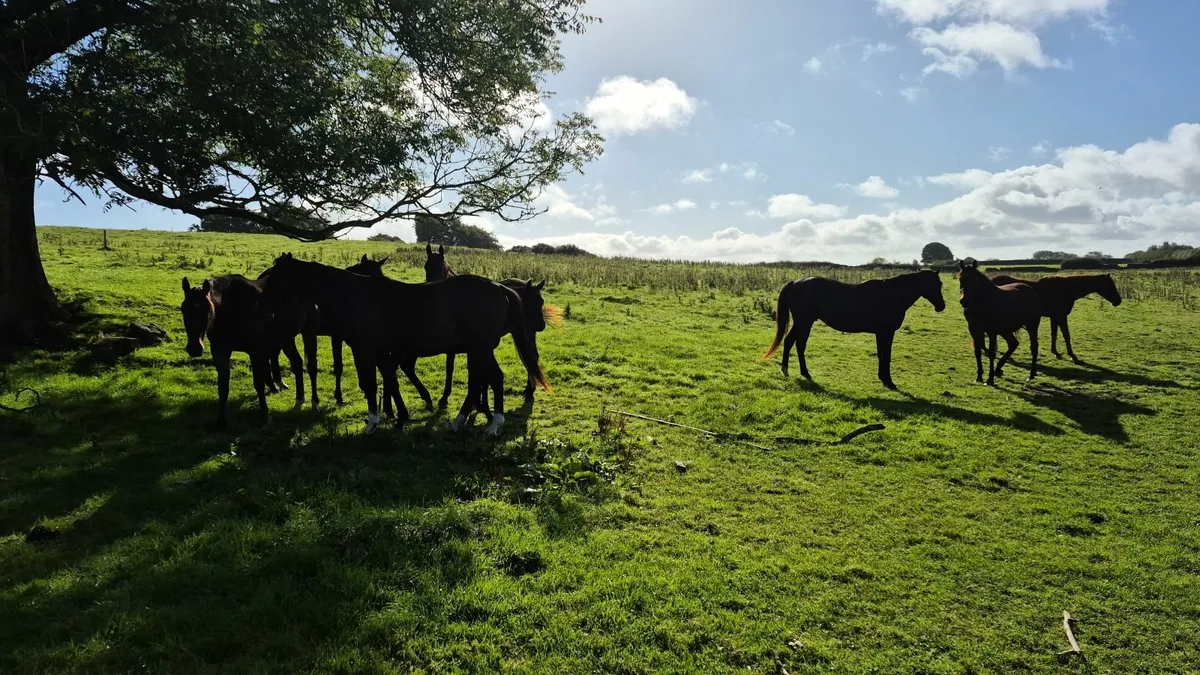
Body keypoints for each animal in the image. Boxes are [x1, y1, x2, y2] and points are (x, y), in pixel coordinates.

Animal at [179, 275, 313, 427]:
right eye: (183, 309)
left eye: (207, 310)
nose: (194, 348)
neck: (232, 310)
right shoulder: (221, 352)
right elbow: (223, 387)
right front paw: (221, 420)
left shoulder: (255, 351)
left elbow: (258, 383)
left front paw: (264, 413)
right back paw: (277, 388)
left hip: (287, 338)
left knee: (296, 363)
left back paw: (299, 399)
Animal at [257, 253, 549, 435]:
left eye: (276, 277)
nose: (263, 306)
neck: (354, 295)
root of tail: (500, 288)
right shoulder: (380, 351)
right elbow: (388, 380)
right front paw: (397, 416)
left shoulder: (365, 349)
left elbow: (370, 382)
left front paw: (373, 423)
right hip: (480, 349)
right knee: (485, 379)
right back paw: (466, 420)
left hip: (480, 347)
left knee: (489, 378)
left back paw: (490, 423)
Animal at [762, 269, 947, 389]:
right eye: (935, 284)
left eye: (940, 284)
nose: (941, 306)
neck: (893, 295)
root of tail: (795, 282)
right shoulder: (886, 332)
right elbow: (886, 355)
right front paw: (889, 381)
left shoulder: (881, 333)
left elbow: (881, 354)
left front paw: (883, 378)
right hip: (803, 322)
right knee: (794, 343)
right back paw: (791, 371)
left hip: (805, 322)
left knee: (795, 343)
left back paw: (800, 373)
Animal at [988, 272, 1121, 363]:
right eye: (1111, 286)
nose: (1118, 301)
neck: (1066, 290)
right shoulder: (1061, 316)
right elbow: (1066, 335)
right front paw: (1072, 356)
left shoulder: (1054, 317)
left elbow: (1054, 334)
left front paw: (1055, 352)